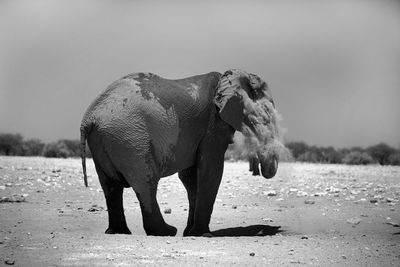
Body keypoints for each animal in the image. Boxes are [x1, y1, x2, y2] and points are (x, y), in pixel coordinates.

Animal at [80, 70, 282, 238]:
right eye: (267, 115)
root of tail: (89, 117)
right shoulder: (212, 125)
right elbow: (211, 170)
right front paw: (202, 234)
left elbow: (190, 178)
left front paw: (189, 233)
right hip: (130, 137)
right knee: (145, 182)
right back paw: (166, 232)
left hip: (105, 139)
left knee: (110, 186)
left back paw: (118, 232)